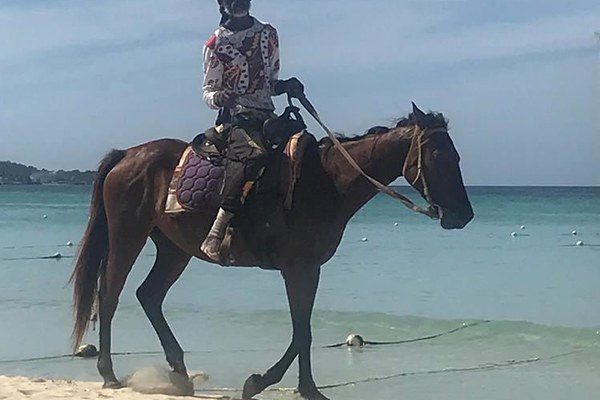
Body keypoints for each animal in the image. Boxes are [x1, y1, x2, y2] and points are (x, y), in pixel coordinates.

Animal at [70, 103, 474, 400]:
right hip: (128, 236)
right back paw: (109, 373)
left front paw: (302, 388)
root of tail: (127, 155)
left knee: (149, 295)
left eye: (456, 156)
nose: (464, 215)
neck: (327, 182)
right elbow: (302, 331)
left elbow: (302, 328)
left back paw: (180, 374)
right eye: (439, 155)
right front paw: (266, 383)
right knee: (110, 295)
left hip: (173, 249)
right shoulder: (297, 268)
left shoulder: (310, 268)